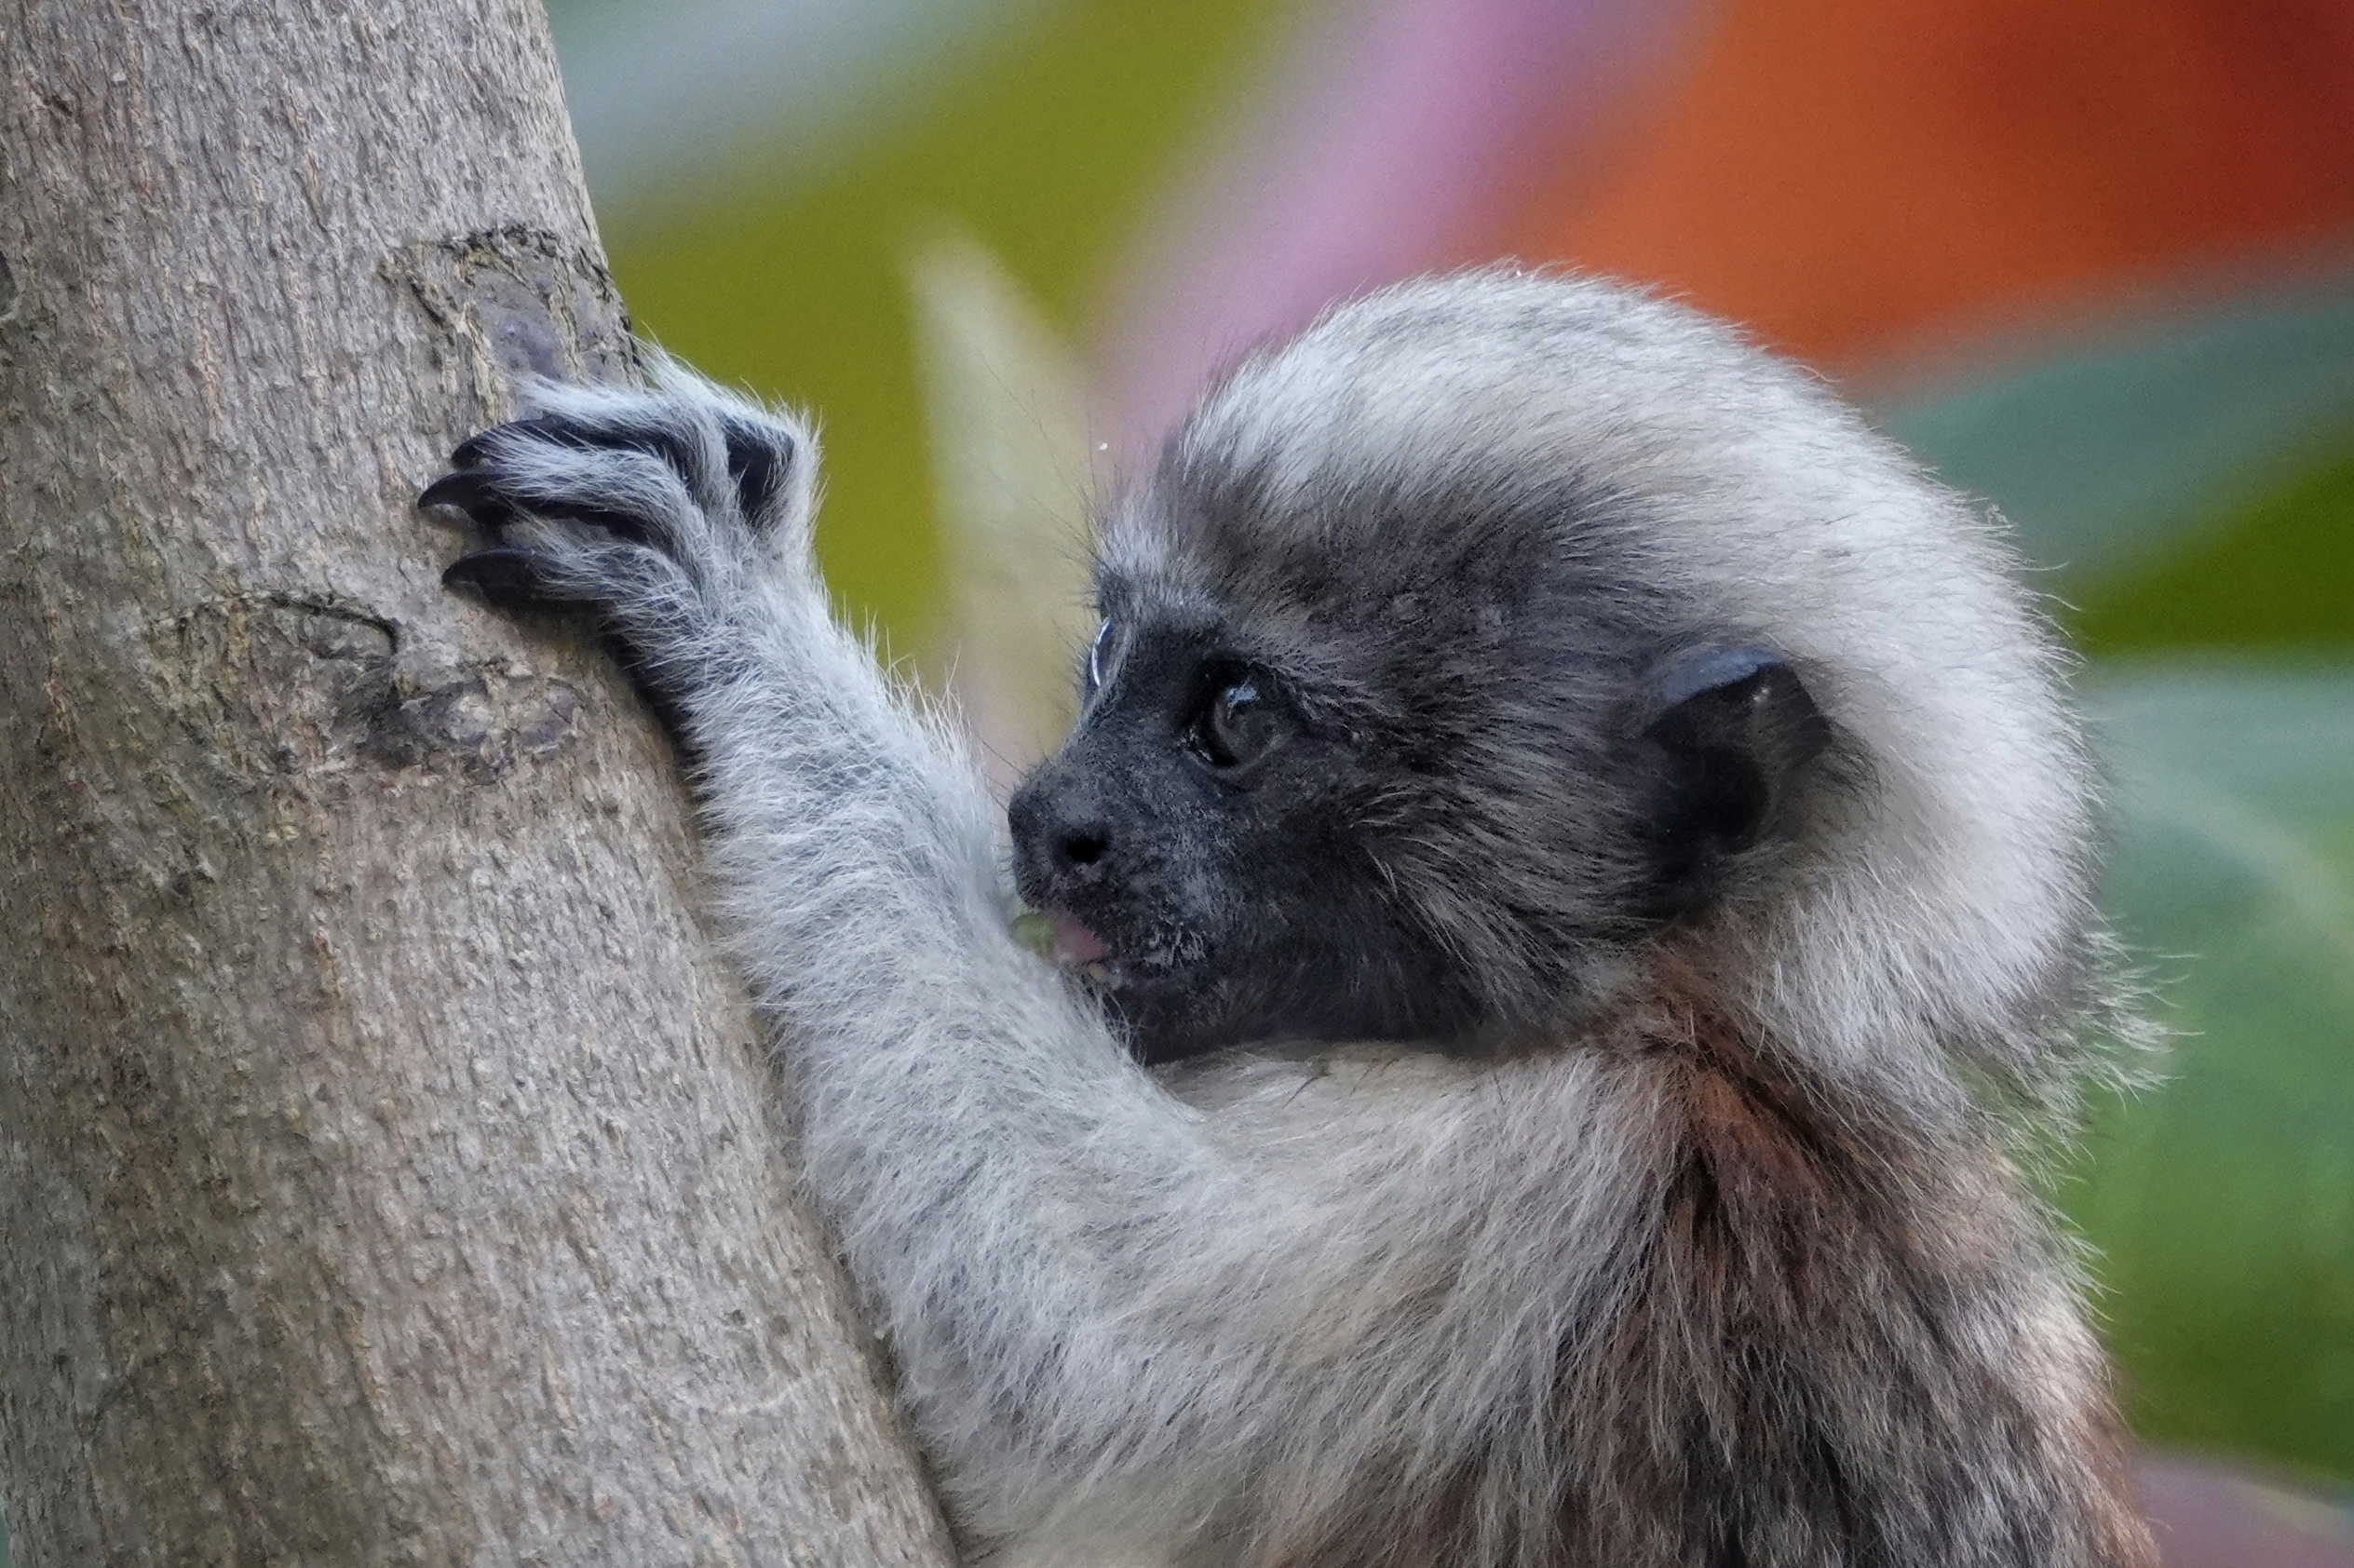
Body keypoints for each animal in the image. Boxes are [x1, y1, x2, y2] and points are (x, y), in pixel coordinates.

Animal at [423, 270, 2157, 1568]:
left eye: (1235, 722)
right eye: (1107, 660)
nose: (1051, 821)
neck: (1686, 1018)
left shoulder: (1540, 1180)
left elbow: (1064, 1362)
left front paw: (738, 612)